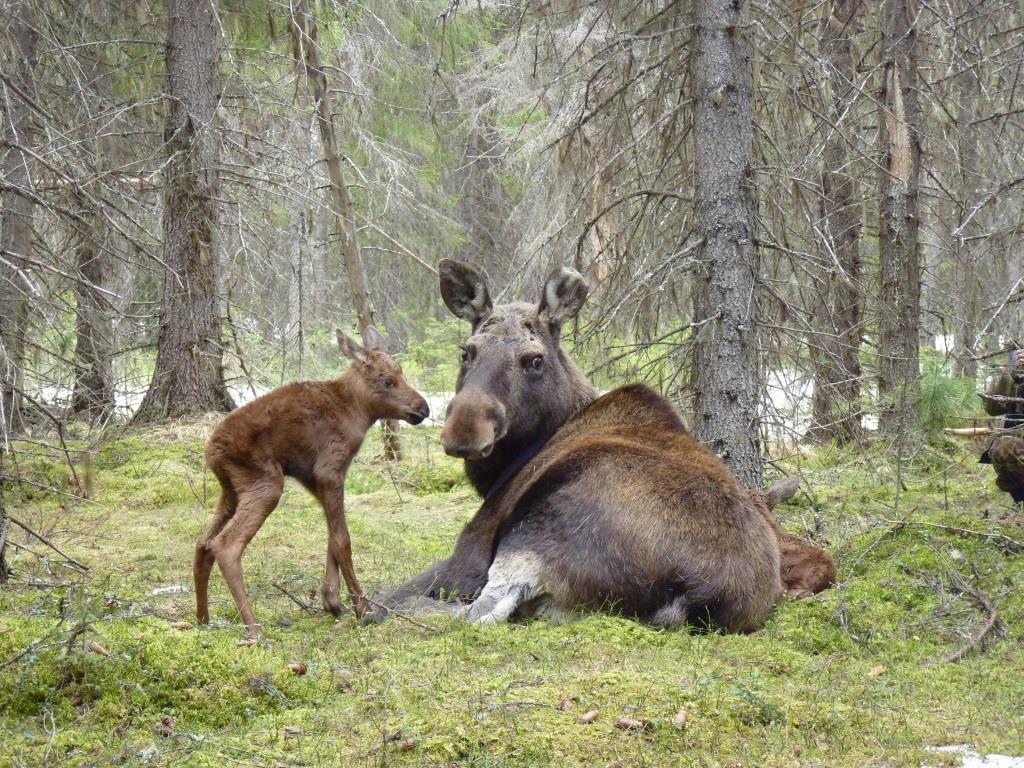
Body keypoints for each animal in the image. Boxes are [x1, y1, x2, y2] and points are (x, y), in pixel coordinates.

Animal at [192, 331, 428, 638]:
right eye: (388, 380)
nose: (423, 408)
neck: (359, 412)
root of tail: (212, 452)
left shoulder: (312, 477)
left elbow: (331, 535)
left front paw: (331, 600)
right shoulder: (330, 470)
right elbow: (342, 540)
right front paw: (362, 609)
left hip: (231, 491)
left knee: (203, 543)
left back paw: (202, 619)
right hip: (266, 483)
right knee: (225, 545)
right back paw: (254, 628)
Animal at [372, 259, 827, 630]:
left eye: (534, 359)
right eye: (466, 351)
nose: (465, 431)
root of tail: (697, 594)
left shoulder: (472, 549)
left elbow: (390, 593)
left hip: (531, 535)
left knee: (472, 614)